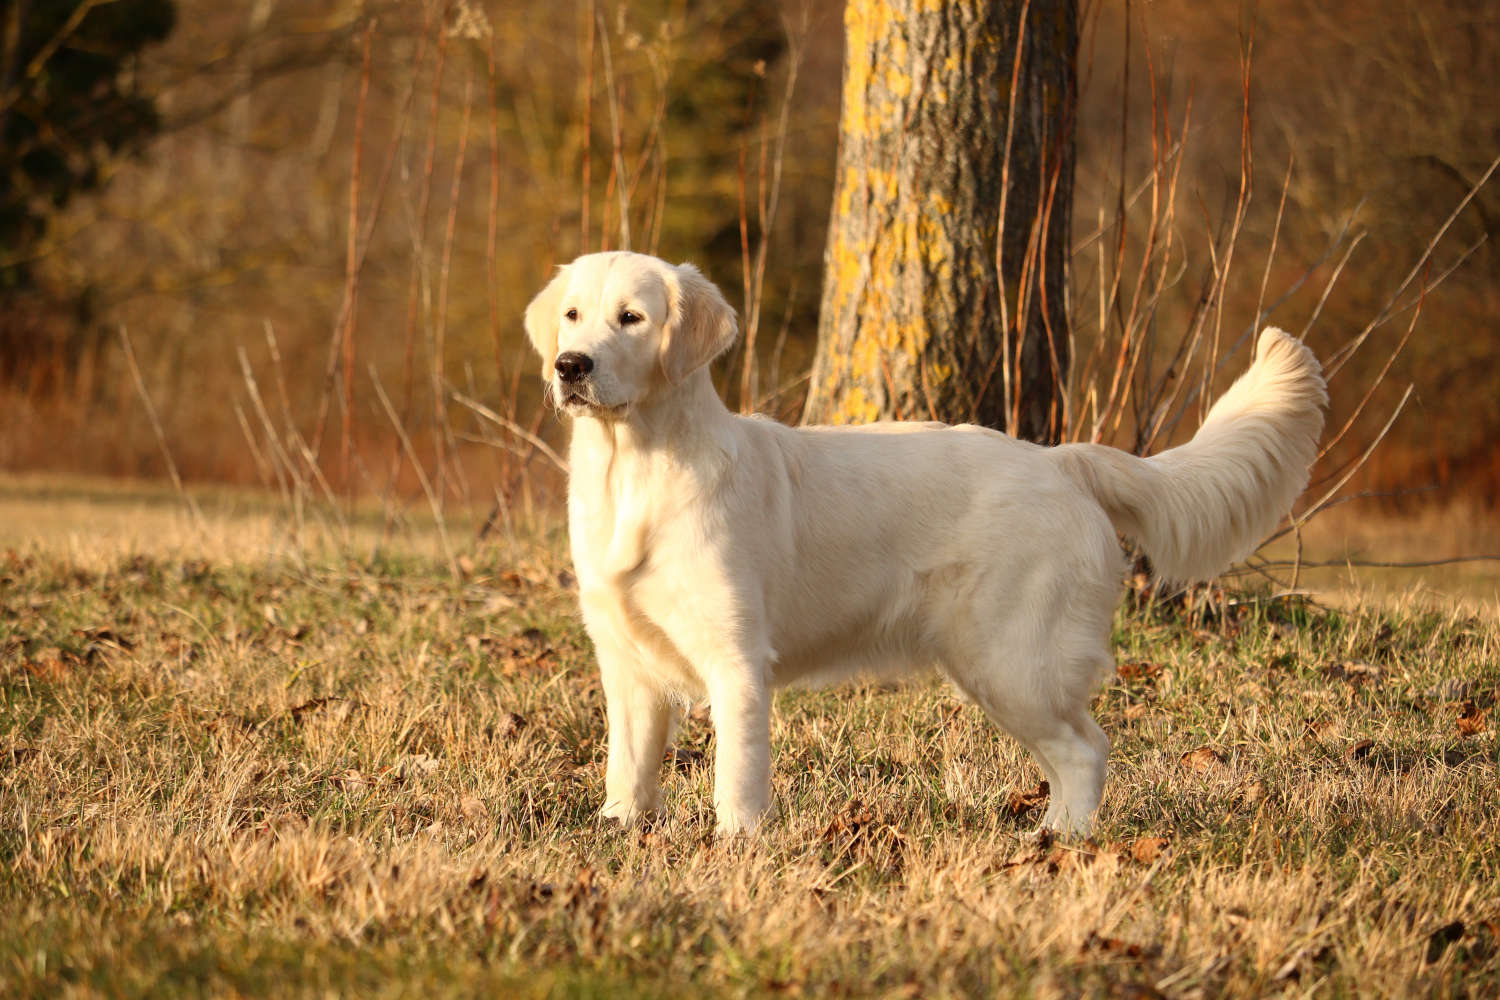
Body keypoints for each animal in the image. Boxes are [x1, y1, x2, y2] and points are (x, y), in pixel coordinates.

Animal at [525, 250, 1326, 839]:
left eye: (631, 318)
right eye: (572, 316)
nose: (570, 365)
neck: (636, 468)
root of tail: (1061, 460)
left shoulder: (737, 659)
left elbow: (738, 774)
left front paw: (738, 844)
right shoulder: (626, 660)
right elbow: (627, 766)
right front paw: (619, 830)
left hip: (1011, 661)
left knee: (1087, 748)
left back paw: (1061, 839)